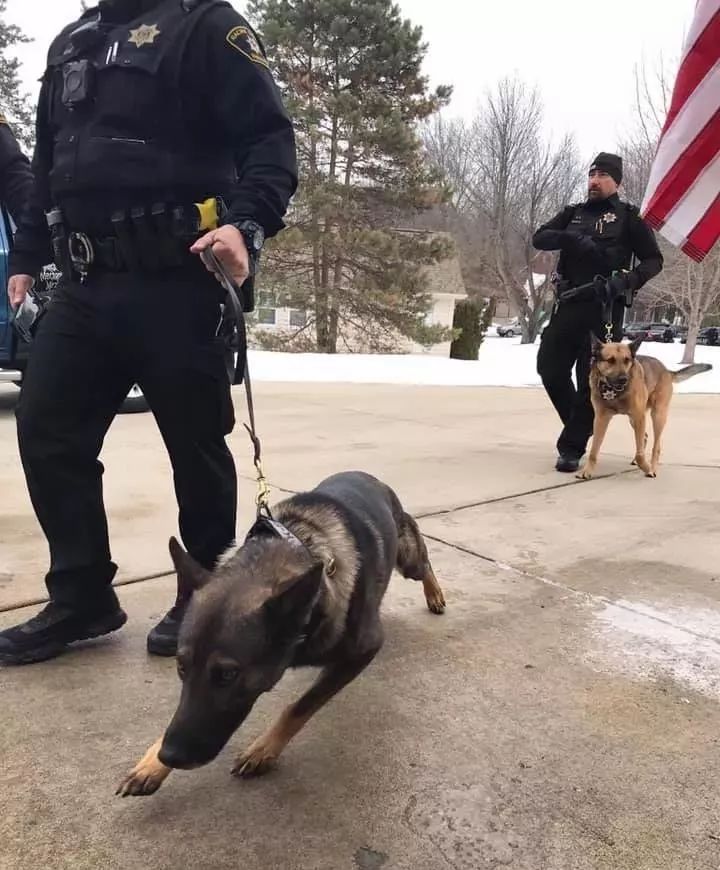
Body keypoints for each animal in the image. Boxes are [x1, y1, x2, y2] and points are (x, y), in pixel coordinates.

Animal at [116, 470, 444, 796]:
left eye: (227, 674)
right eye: (181, 667)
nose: (169, 755)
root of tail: (368, 476)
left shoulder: (362, 651)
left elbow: (298, 707)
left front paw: (263, 750)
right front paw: (151, 764)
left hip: (407, 558)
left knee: (424, 562)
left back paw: (435, 595)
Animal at [576, 336, 712, 484]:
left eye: (627, 360)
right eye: (610, 360)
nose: (624, 379)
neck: (614, 392)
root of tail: (666, 370)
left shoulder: (639, 416)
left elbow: (641, 454)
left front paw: (648, 469)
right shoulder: (601, 418)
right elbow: (594, 451)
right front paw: (587, 471)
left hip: (657, 415)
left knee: (656, 446)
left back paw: (652, 466)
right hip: (634, 420)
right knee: (645, 437)